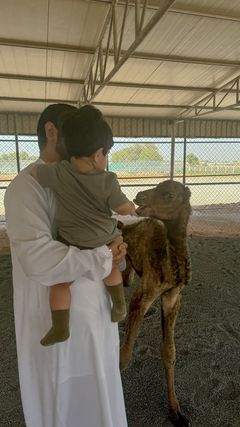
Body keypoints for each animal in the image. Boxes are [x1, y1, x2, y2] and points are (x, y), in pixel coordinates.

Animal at [121, 180, 192, 427]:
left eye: (168, 194)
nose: (139, 196)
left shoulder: (173, 296)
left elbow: (169, 352)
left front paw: (176, 413)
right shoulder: (145, 294)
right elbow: (125, 355)